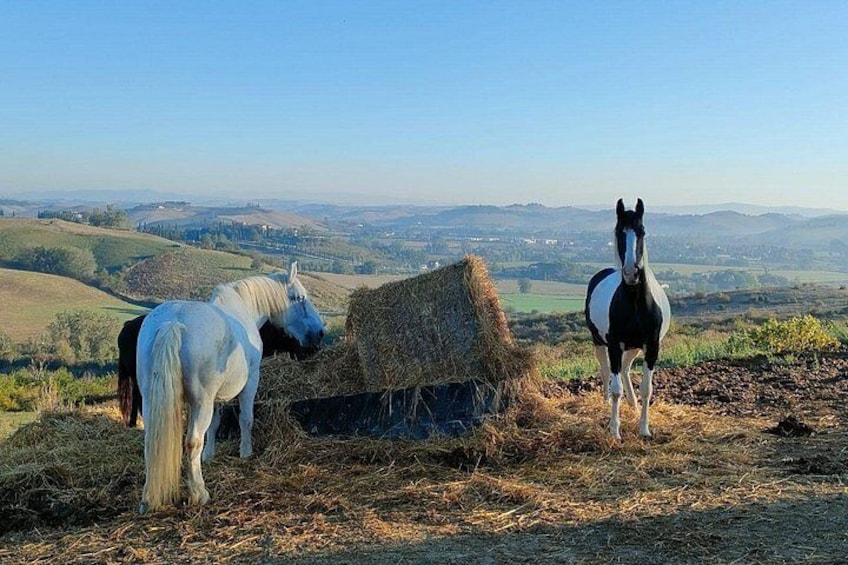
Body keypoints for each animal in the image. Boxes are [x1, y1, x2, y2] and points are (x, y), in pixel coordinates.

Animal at [585, 199, 671, 440]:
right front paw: (615, 431)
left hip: (633, 347)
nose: (632, 273)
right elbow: (616, 389)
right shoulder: (615, 345)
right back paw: (606, 404)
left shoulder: (651, 346)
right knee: (607, 371)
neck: (634, 302)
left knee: (624, 369)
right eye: (619, 232)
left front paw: (644, 429)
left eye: (641, 231)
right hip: (599, 342)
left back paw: (632, 404)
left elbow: (647, 388)